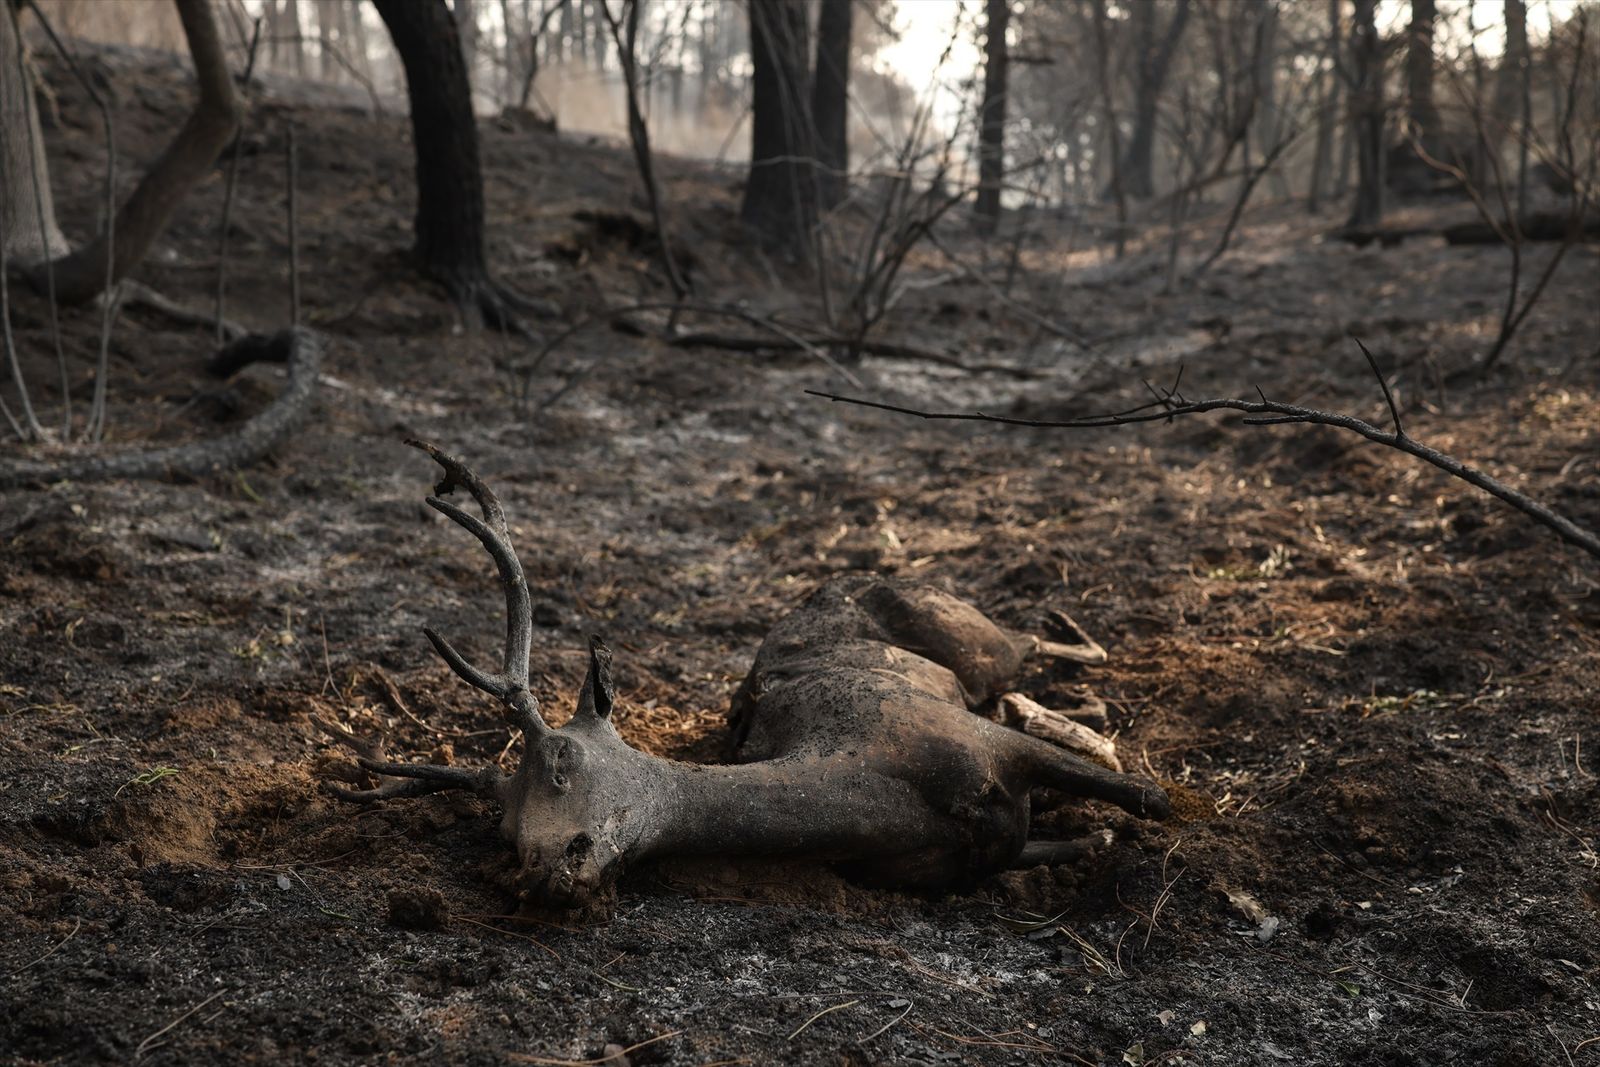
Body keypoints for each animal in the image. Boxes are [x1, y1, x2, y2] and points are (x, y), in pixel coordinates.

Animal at [315, 442, 1170, 909]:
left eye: (562, 758)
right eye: (501, 829)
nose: (545, 871)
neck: (895, 790)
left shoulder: (980, 739)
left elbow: (1151, 798)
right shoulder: (954, 863)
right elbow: (1082, 835)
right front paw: (1092, 832)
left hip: (968, 632)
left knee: (1033, 644)